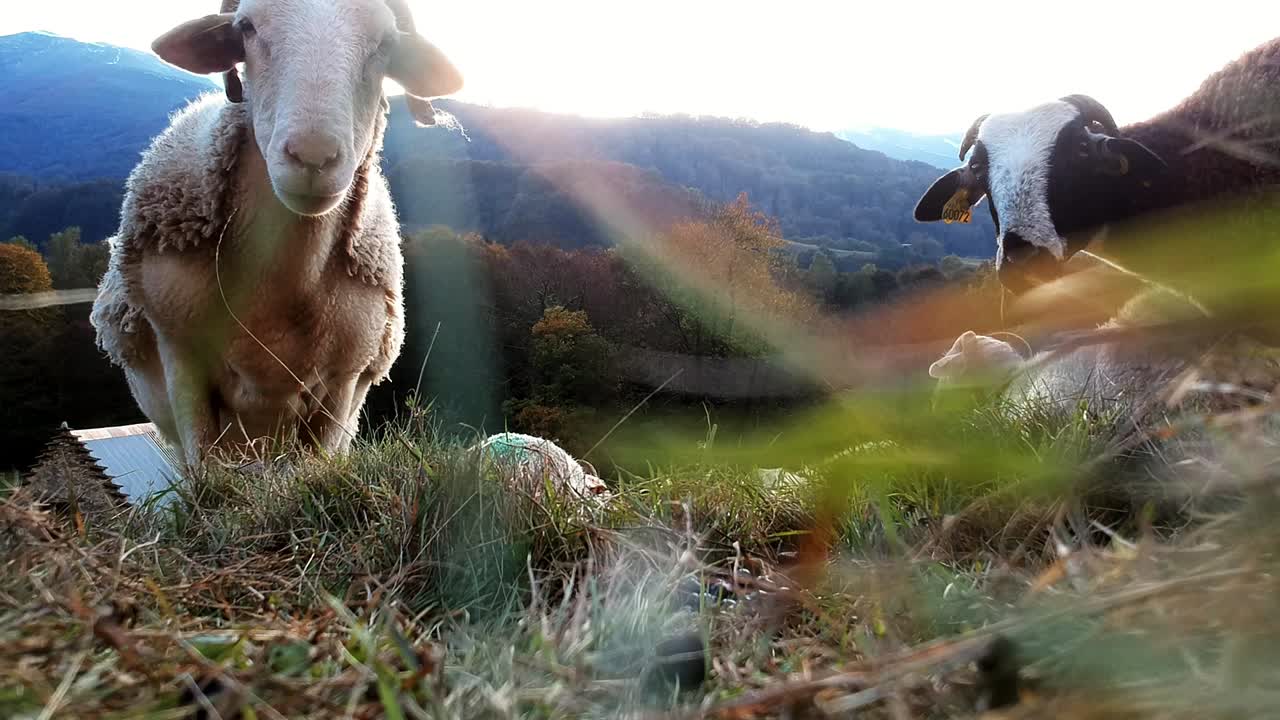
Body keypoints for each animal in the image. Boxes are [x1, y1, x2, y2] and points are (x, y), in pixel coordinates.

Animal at [89, 0, 463, 469]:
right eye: (246, 28)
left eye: (387, 45)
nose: (312, 156)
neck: (281, 289)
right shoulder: (182, 359)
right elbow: (204, 469)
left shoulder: (342, 384)